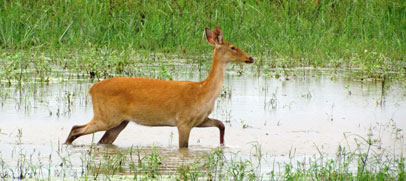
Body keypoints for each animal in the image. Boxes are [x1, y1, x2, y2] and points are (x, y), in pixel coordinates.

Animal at [63, 27, 254, 148]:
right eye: (233, 47)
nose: (250, 58)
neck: (203, 91)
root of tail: (92, 89)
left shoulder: (199, 119)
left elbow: (221, 124)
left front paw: (222, 145)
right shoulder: (183, 120)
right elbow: (183, 147)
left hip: (119, 121)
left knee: (101, 140)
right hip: (106, 116)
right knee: (76, 129)